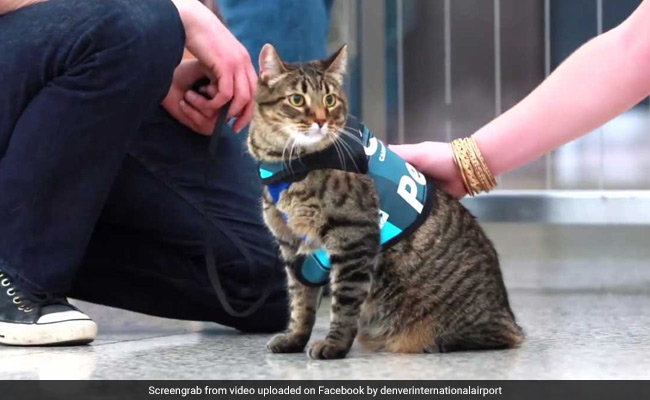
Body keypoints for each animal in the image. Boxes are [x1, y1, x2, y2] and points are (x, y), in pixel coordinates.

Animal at [246, 43, 524, 360]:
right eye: (296, 99)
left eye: (329, 100)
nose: (320, 120)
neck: (288, 165)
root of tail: (509, 320)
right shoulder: (294, 249)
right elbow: (300, 304)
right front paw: (294, 338)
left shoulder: (353, 238)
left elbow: (344, 304)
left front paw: (334, 345)